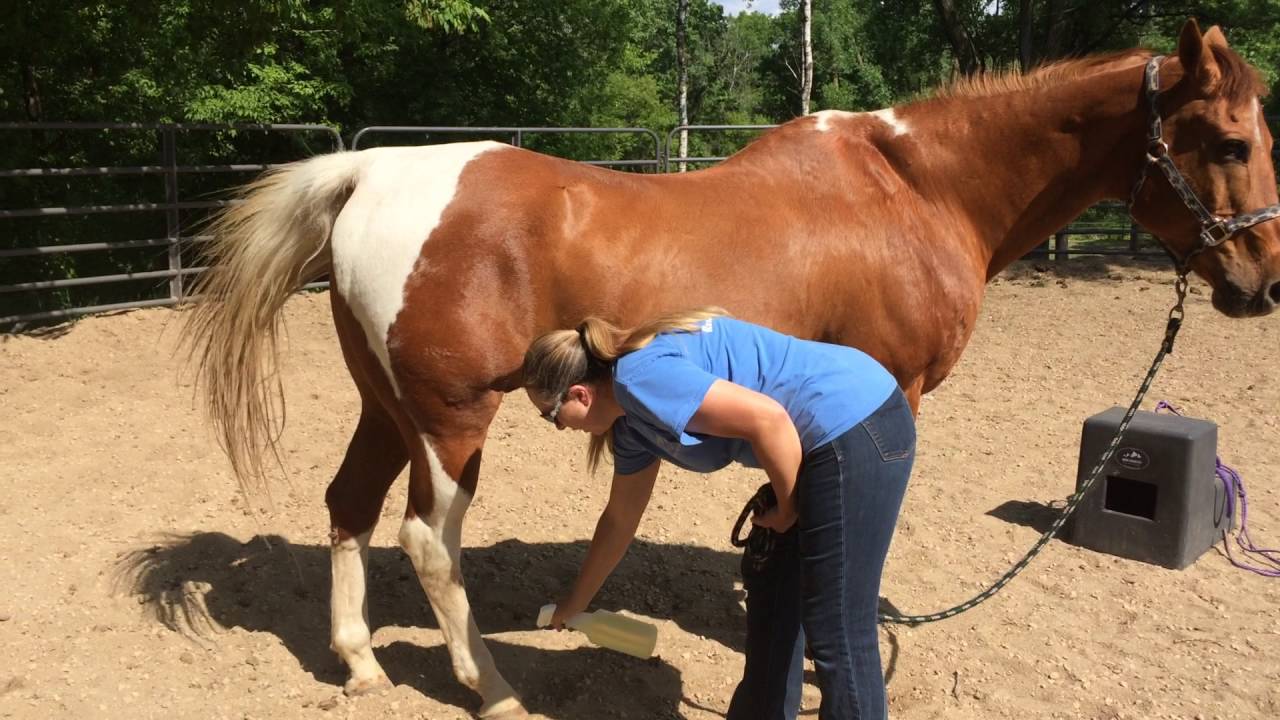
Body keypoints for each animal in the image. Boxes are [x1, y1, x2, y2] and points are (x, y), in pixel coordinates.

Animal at [182, 20, 1278, 718]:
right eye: (1227, 141)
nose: (1259, 281)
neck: (915, 190)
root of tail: (371, 170)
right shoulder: (894, 391)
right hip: (450, 423)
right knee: (427, 543)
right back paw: (489, 688)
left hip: (386, 409)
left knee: (350, 508)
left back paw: (361, 663)